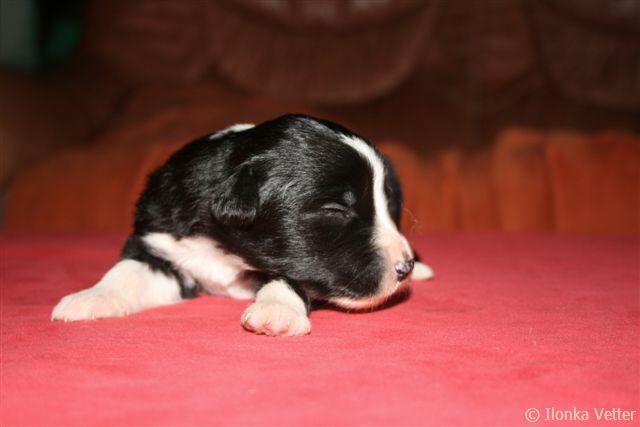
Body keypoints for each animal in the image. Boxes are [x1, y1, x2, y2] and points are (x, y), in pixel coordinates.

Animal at [52, 114, 433, 336]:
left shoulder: (291, 263)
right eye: (336, 209)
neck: (226, 251)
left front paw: (276, 310)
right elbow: (126, 272)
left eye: (386, 204)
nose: (404, 267)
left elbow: (289, 277)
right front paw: (91, 297)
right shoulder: (159, 243)